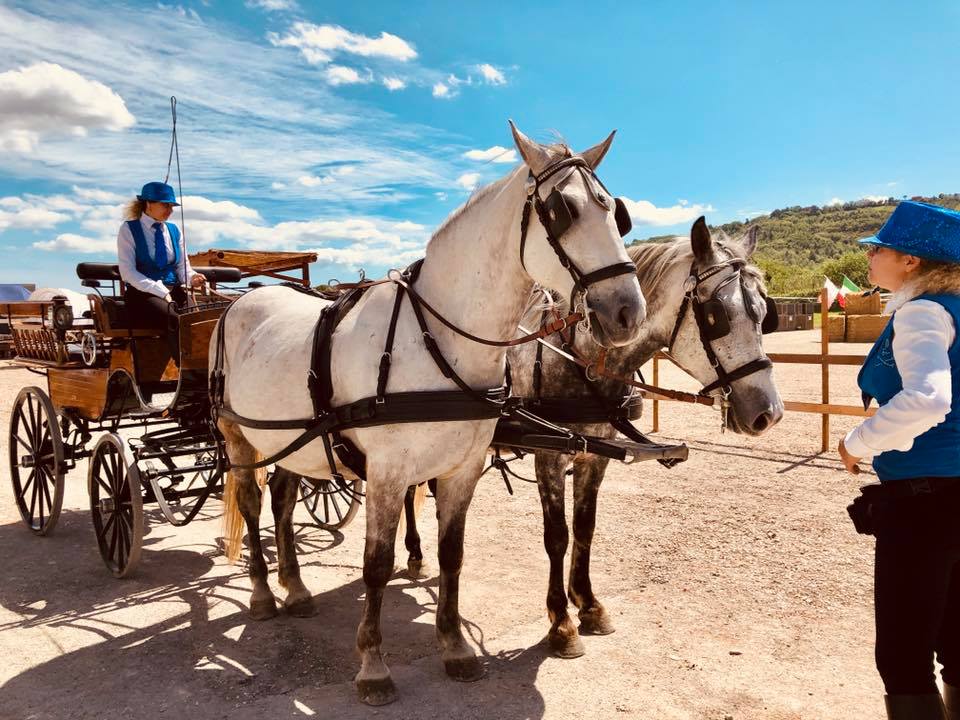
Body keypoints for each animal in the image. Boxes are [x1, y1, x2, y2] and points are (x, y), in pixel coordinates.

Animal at [211, 122, 644, 704]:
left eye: (616, 212)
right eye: (562, 211)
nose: (628, 312)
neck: (436, 338)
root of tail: (239, 301)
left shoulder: (461, 469)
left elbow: (452, 555)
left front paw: (455, 646)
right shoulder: (387, 473)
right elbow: (375, 566)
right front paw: (373, 666)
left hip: (294, 441)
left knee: (282, 499)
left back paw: (296, 588)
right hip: (240, 436)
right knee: (253, 503)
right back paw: (261, 593)